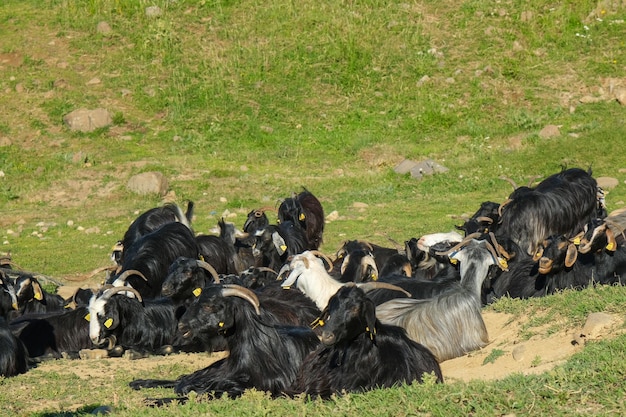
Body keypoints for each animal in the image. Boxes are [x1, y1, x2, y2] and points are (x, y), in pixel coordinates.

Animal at [129, 282, 320, 404]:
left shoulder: (248, 388)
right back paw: (138, 382)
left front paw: (152, 400)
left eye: (209, 306)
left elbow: (201, 394)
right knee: (184, 378)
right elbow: (189, 385)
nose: (182, 326)